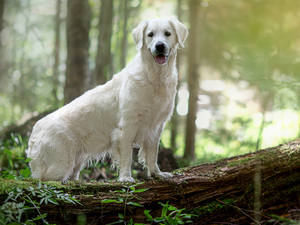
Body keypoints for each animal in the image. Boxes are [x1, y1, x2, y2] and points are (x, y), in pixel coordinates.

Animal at [27, 18, 189, 183]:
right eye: (150, 34)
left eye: (167, 33)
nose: (160, 45)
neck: (155, 78)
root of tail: (34, 132)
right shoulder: (127, 127)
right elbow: (127, 157)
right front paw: (125, 177)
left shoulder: (156, 127)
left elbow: (152, 155)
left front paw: (157, 173)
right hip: (60, 163)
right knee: (42, 178)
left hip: (76, 161)